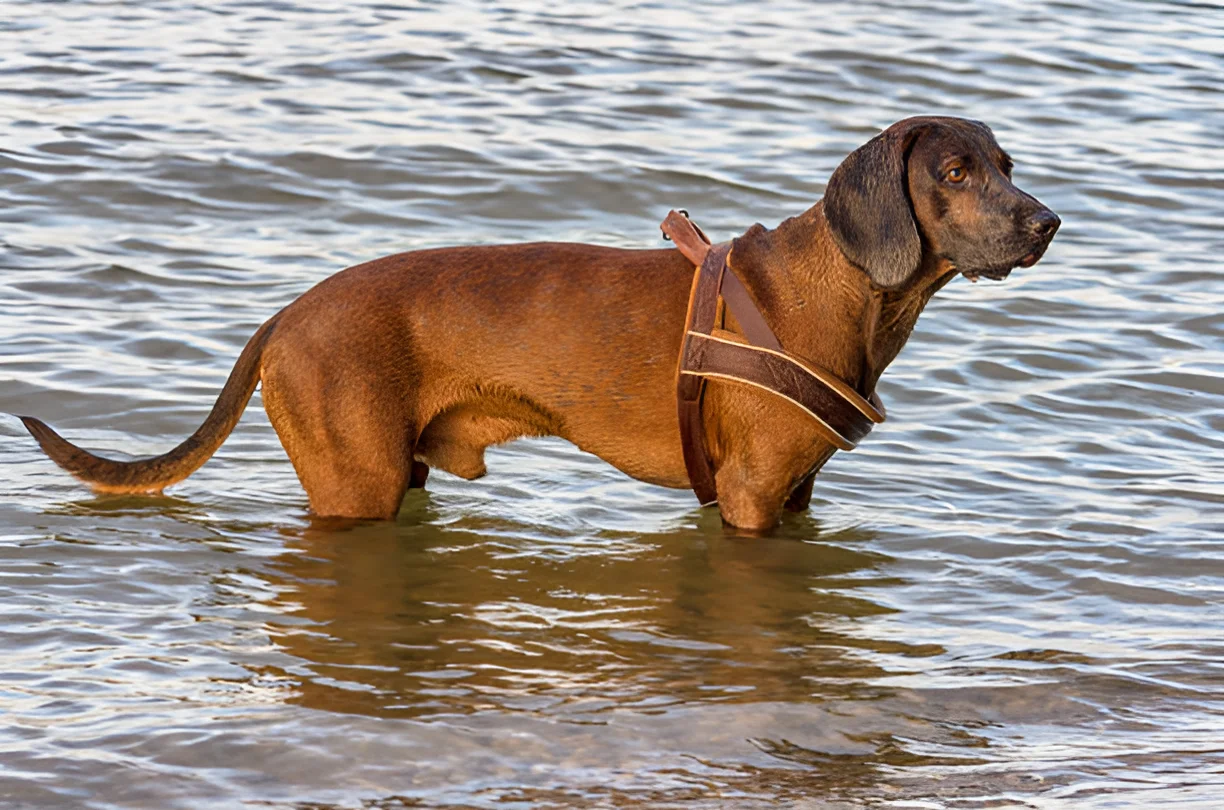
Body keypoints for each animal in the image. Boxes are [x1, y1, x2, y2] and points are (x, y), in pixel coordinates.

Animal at [14, 115, 1057, 533]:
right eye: (954, 172)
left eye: (1006, 164)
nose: (1047, 222)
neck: (843, 290)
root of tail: (285, 314)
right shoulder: (754, 501)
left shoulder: (794, 496)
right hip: (358, 485)